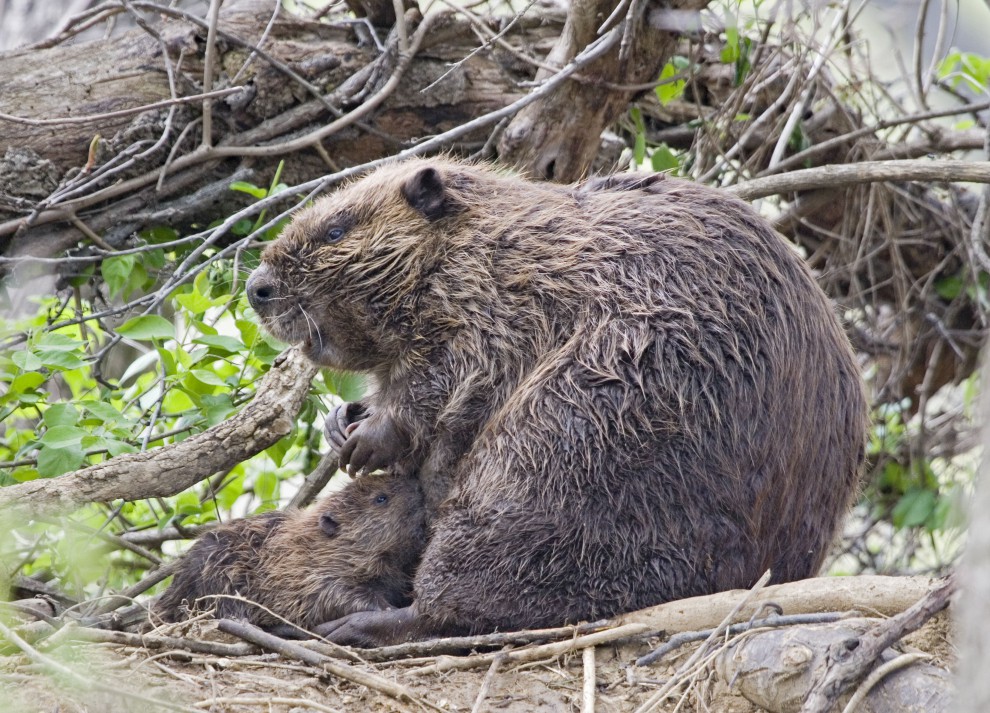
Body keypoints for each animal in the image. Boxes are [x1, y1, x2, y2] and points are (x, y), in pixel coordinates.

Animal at [248, 160, 868, 644]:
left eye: (336, 229)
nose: (257, 288)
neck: (501, 236)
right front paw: (344, 419)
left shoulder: (501, 296)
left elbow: (451, 376)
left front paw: (368, 438)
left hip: (583, 432)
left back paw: (362, 625)